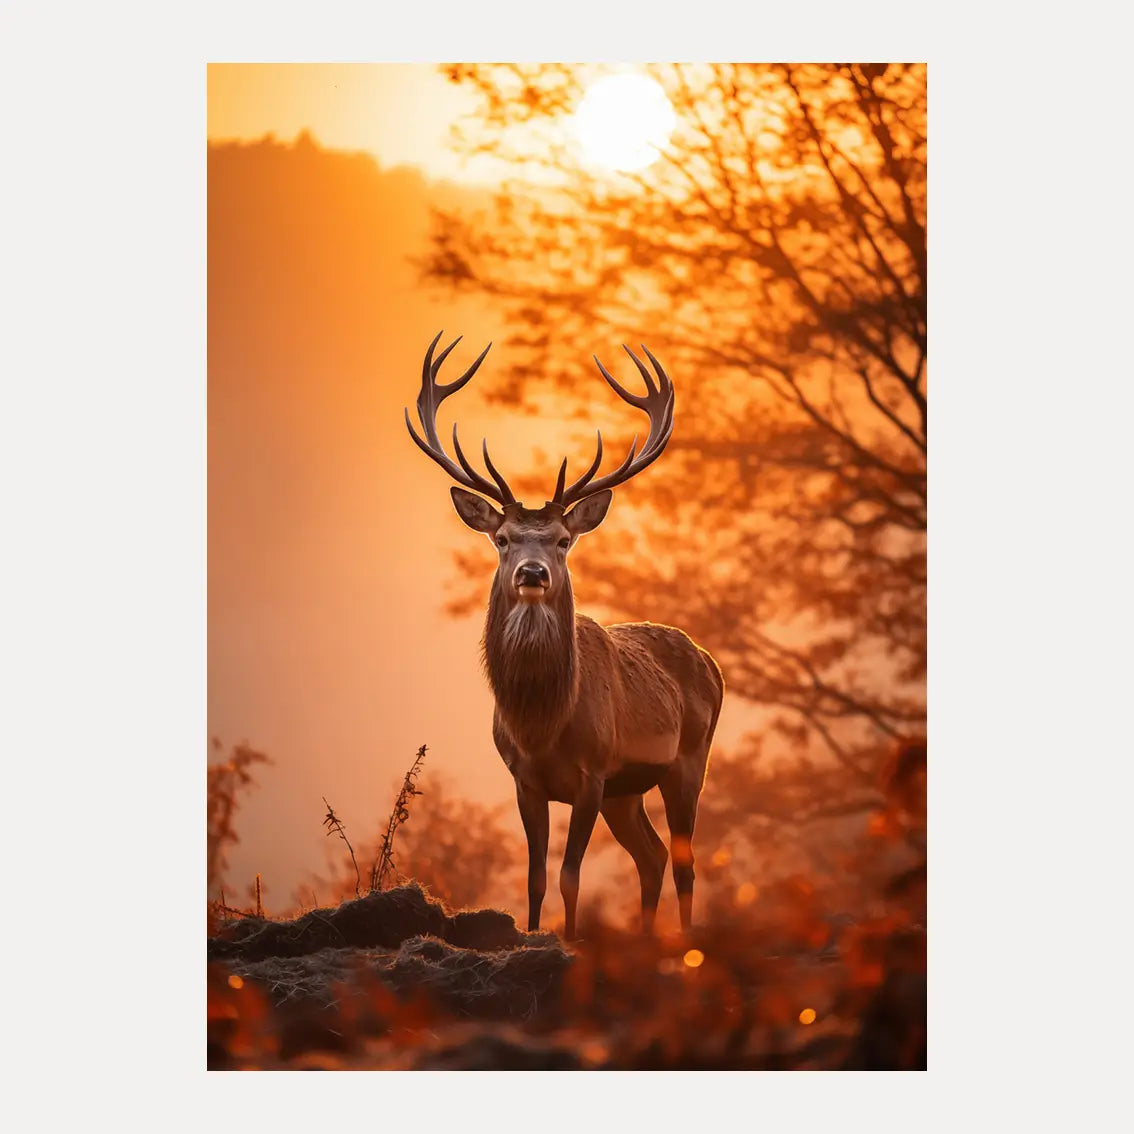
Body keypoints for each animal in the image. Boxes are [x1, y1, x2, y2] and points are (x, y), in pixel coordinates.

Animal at [405, 332, 724, 939]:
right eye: (503, 538)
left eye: (562, 540)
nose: (533, 573)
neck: (543, 722)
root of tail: (711, 662)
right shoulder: (524, 779)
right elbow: (534, 878)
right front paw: (536, 935)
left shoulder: (593, 773)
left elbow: (570, 876)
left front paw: (571, 941)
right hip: (627, 793)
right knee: (650, 856)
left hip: (688, 761)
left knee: (684, 860)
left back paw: (686, 941)